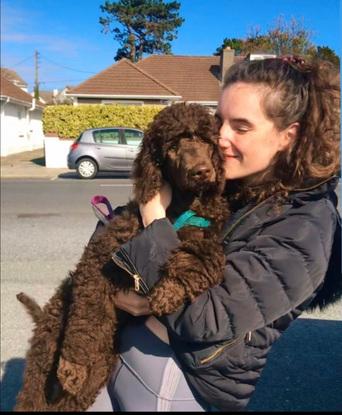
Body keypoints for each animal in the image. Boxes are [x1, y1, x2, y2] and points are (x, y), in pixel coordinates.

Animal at [14, 102, 230, 412]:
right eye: (172, 146)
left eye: (206, 141)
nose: (201, 171)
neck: (179, 207)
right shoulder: (99, 260)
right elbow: (87, 316)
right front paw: (73, 365)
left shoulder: (209, 236)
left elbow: (205, 261)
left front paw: (168, 292)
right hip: (47, 350)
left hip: (99, 366)